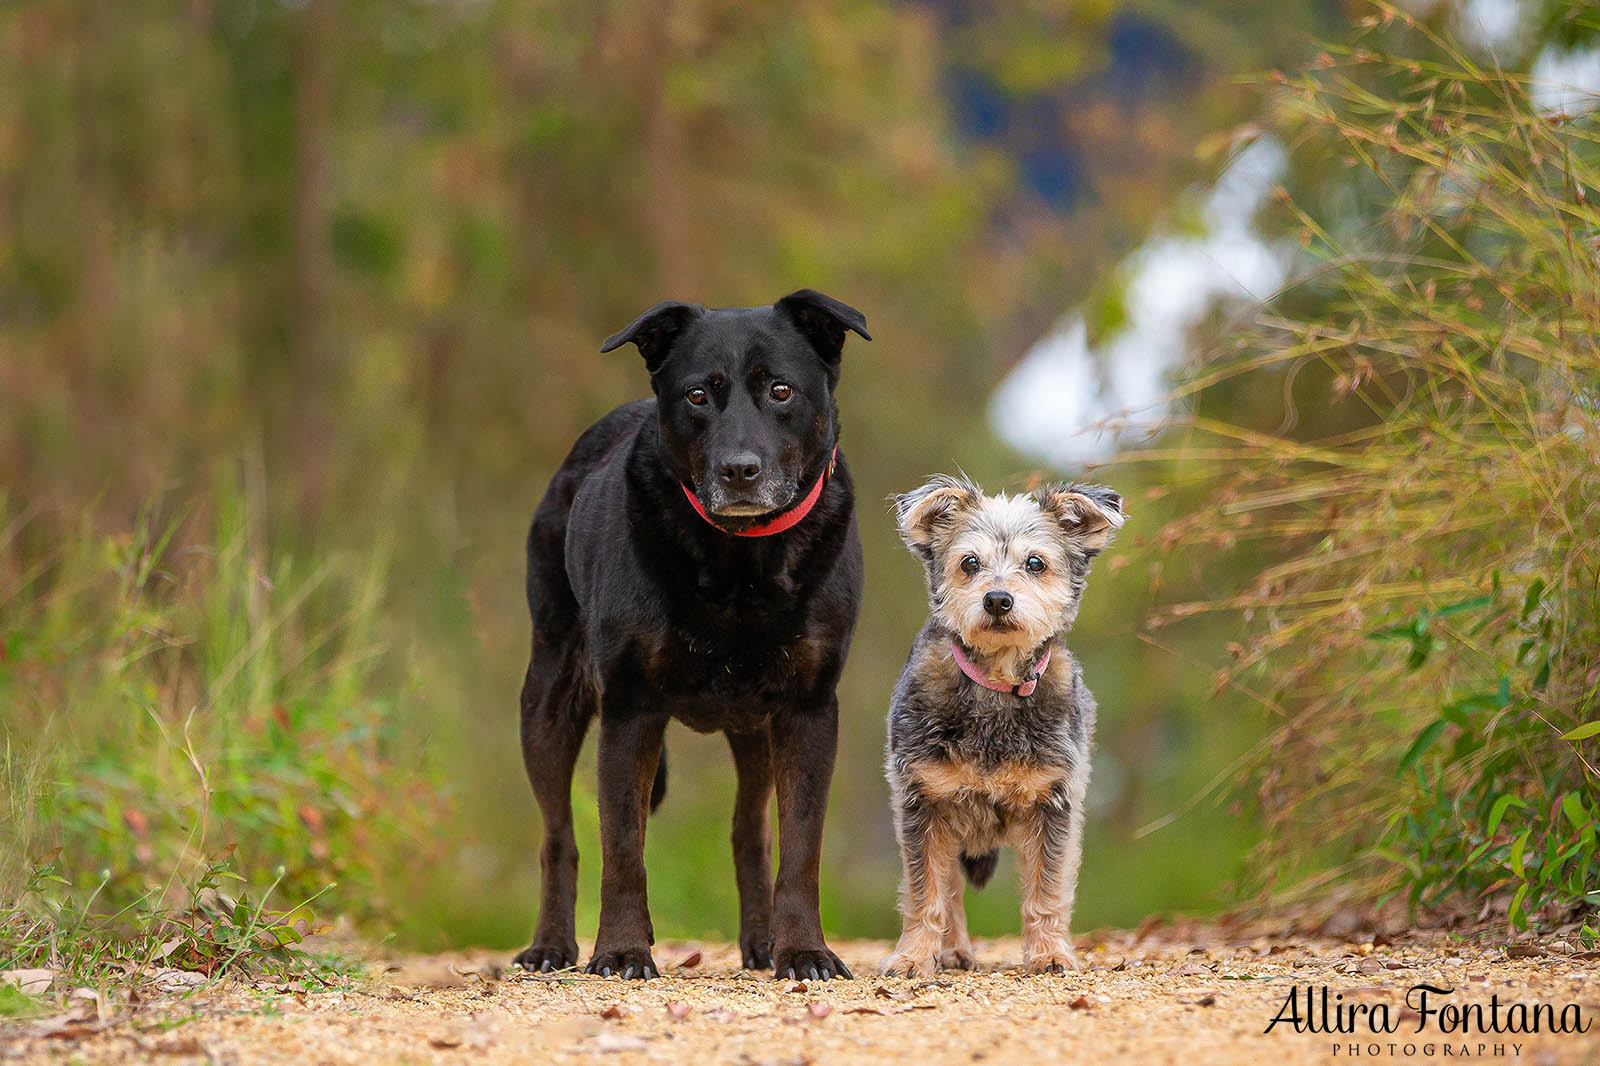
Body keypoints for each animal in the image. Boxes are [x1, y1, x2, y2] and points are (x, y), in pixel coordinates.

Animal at [515, 286, 870, 973]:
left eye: (781, 391)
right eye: (697, 395)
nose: (739, 470)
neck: (740, 563)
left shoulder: (808, 708)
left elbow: (800, 848)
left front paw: (804, 952)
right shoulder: (631, 706)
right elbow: (623, 848)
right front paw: (622, 951)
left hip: (754, 730)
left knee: (749, 832)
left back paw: (762, 943)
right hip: (549, 696)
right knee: (557, 836)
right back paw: (550, 945)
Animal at [876, 473, 1126, 973]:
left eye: (1036, 563)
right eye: (970, 562)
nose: (997, 599)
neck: (996, 685)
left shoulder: (1055, 804)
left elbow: (1046, 890)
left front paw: (1050, 953)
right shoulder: (922, 802)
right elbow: (926, 892)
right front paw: (913, 957)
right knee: (951, 891)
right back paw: (952, 950)